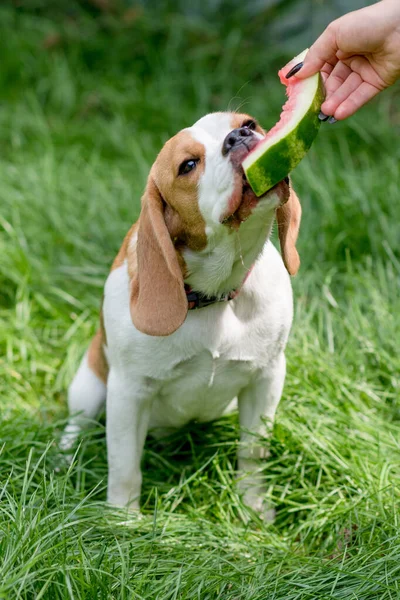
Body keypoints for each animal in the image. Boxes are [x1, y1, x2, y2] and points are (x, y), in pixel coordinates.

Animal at [60, 112, 300, 520]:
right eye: (188, 165)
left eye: (249, 122)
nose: (240, 136)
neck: (216, 296)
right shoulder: (128, 393)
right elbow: (125, 466)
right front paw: (124, 520)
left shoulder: (265, 380)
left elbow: (253, 453)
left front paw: (253, 508)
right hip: (88, 385)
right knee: (76, 425)